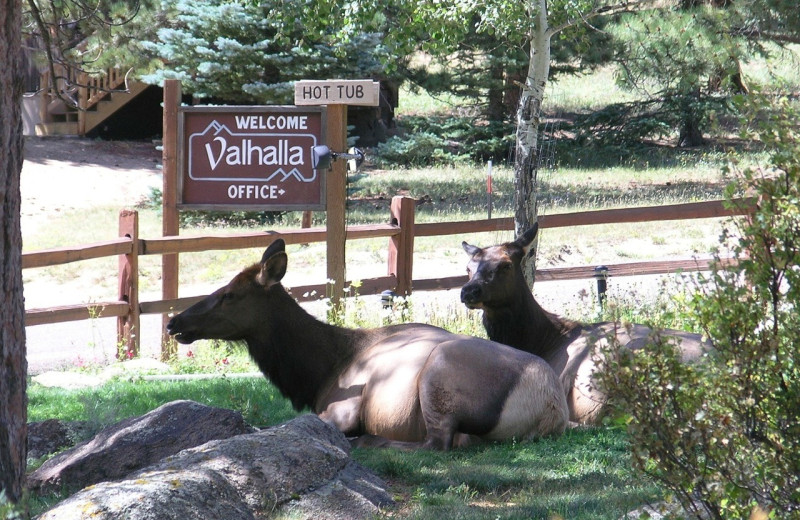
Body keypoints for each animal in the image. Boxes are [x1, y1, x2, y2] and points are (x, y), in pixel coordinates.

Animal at [167, 238, 568, 448]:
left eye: (229, 295)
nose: (174, 322)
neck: (318, 372)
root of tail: (550, 405)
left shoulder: (341, 410)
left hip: (438, 373)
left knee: (437, 443)